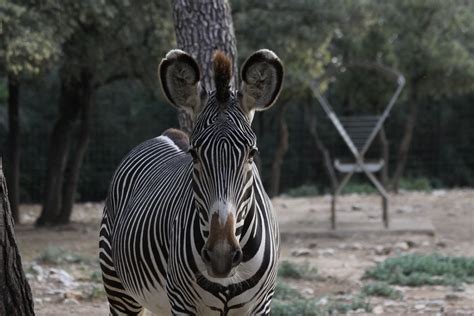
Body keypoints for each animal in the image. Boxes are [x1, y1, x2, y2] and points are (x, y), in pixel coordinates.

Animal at [99, 48, 284, 314]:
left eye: (252, 153)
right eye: (194, 154)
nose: (221, 256)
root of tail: (167, 134)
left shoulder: (261, 305)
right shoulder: (182, 302)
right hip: (118, 289)